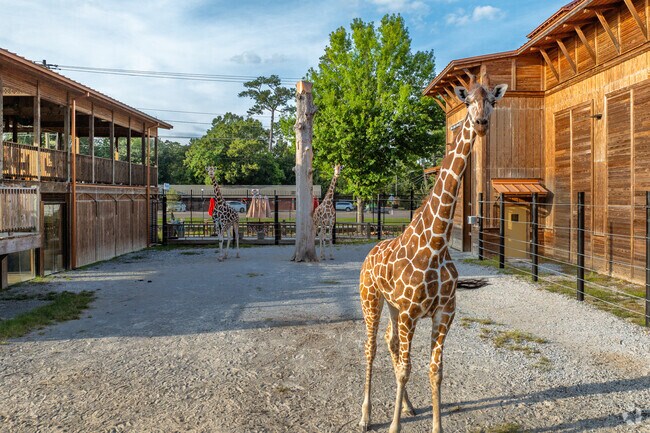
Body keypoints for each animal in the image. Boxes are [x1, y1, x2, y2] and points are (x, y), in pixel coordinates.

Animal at [358, 73, 507, 433]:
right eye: (468, 101)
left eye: (492, 101)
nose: (481, 123)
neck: (436, 243)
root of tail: (369, 254)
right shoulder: (412, 313)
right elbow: (404, 369)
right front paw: (394, 426)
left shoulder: (443, 314)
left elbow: (435, 371)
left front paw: (433, 424)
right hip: (371, 299)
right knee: (371, 347)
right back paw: (366, 416)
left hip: (394, 307)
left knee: (389, 341)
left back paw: (409, 407)